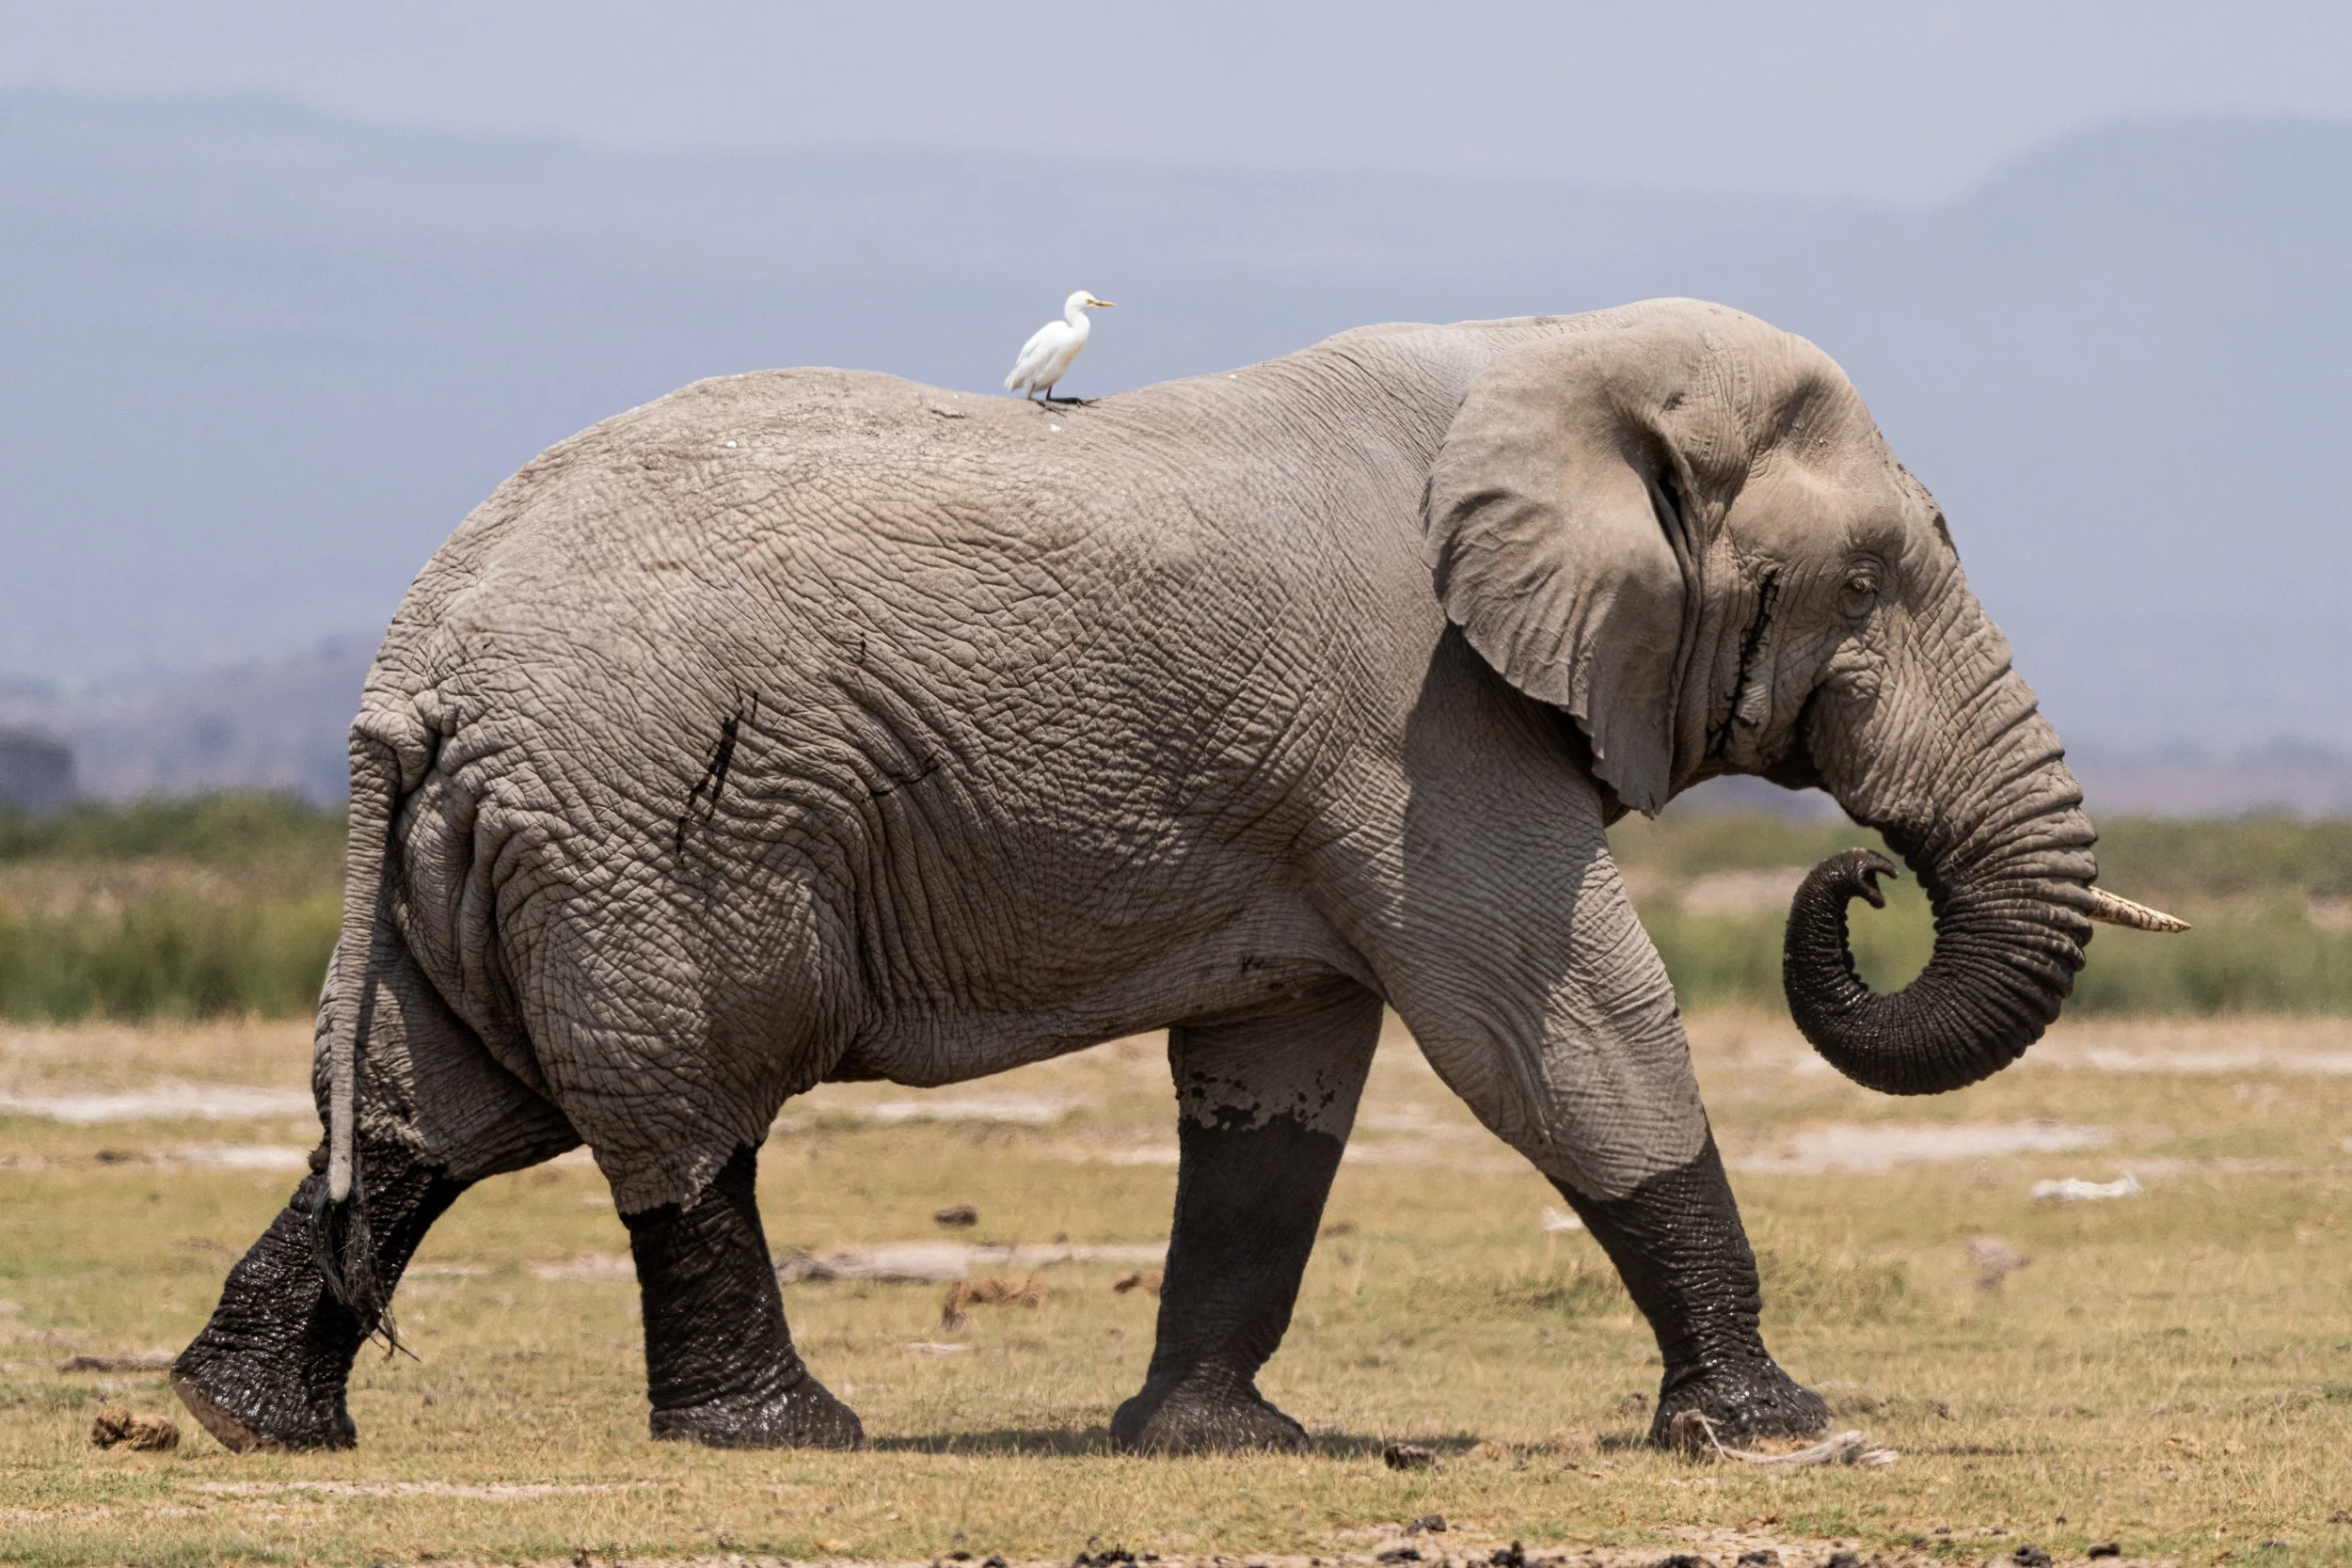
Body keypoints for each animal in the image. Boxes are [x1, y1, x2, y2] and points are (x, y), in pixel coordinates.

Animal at [171, 298, 2182, 1458]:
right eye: (1873, 580)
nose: (1856, 876)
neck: (1548, 347)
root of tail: (411, 668)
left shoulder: (1330, 772)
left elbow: (1281, 1084)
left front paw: (1223, 1442)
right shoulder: (1418, 716)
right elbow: (1561, 1028)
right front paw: (1784, 1431)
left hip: (499, 834)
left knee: (436, 1110)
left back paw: (246, 1419)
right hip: (637, 821)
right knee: (675, 1106)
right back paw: (787, 1433)